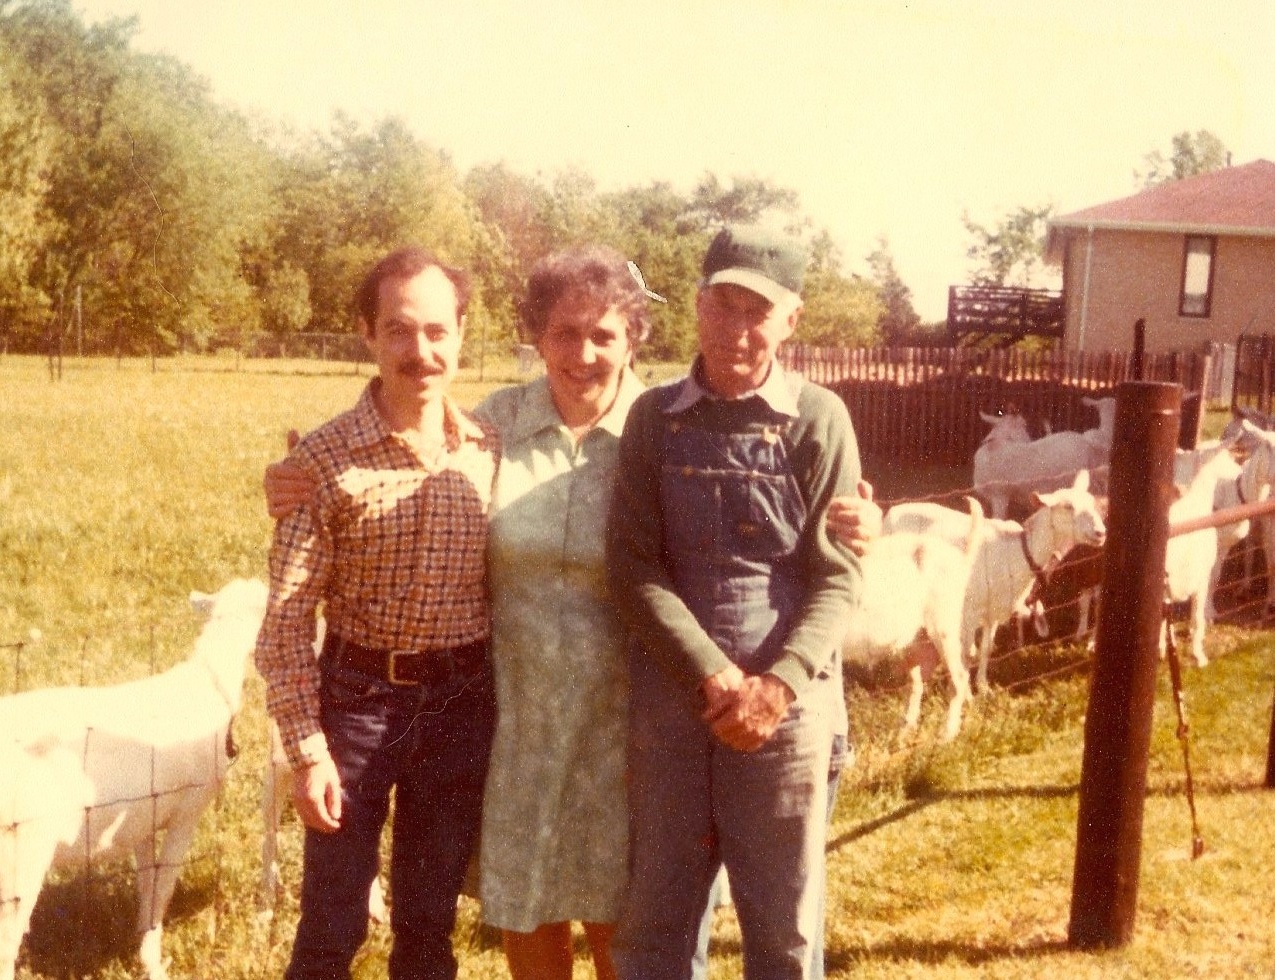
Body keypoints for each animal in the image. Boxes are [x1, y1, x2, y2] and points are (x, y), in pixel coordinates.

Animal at [0, 573, 266, 978]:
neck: (209, 683)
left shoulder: (143, 817)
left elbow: (147, 882)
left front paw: (144, 945)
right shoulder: (188, 811)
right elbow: (164, 885)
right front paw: (155, 964)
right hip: (20, 854)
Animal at [846, 499, 984, 739]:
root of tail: (960, 558)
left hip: (944, 627)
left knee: (959, 677)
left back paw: (947, 734)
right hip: (916, 640)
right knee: (918, 681)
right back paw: (906, 730)